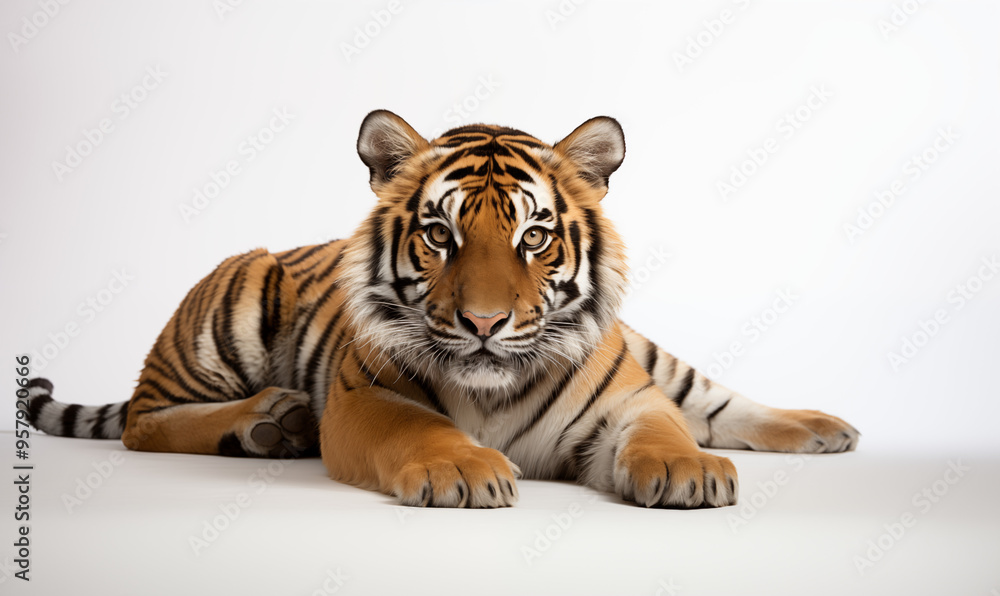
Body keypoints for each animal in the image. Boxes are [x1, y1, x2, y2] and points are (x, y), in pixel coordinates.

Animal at [25, 110, 859, 509]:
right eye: (438, 234)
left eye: (533, 236)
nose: (484, 325)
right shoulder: (365, 399)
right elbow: (420, 427)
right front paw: (464, 470)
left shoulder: (634, 397)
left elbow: (670, 427)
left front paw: (688, 471)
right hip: (235, 301)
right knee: (141, 420)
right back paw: (269, 421)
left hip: (656, 357)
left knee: (717, 402)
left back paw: (828, 428)